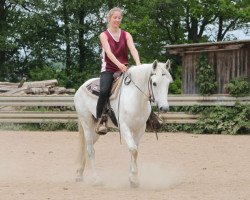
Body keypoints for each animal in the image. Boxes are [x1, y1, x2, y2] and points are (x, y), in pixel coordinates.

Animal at [73, 59, 173, 188]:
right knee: (90, 150)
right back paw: (97, 179)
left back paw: (79, 174)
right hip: (86, 123)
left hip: (96, 130)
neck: (135, 98)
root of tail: (81, 87)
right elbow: (133, 150)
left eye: (168, 83)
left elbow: (134, 150)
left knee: (85, 148)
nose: (164, 108)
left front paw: (132, 178)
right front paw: (134, 179)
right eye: (154, 83)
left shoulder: (140, 129)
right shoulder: (125, 127)